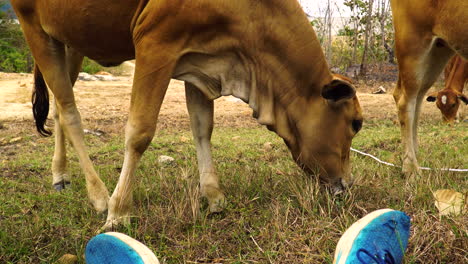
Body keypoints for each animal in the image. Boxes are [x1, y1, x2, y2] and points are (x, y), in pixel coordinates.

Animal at [10, 0, 362, 229]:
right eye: (356, 123)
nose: (346, 184)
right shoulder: (155, 43)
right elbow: (139, 132)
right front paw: (118, 211)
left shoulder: (204, 60)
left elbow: (202, 129)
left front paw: (214, 196)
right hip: (33, 26)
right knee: (70, 111)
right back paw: (98, 196)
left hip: (69, 39)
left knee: (59, 107)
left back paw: (61, 175)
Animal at [390, 1, 466, 176]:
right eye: (439, 106)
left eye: (453, 104)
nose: (448, 123)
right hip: (412, 42)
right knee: (405, 101)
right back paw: (411, 168)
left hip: (438, 49)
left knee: (417, 98)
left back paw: (414, 155)